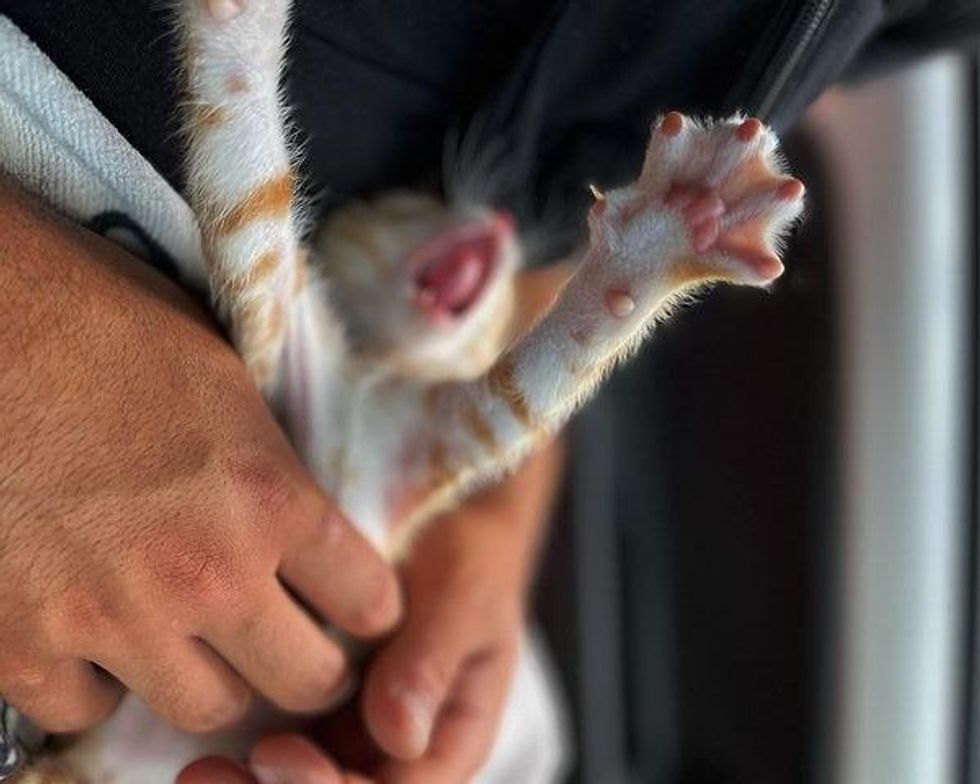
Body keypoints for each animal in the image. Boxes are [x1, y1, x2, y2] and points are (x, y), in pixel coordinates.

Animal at [9, 0, 804, 780]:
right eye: (413, 202)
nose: (504, 221)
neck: (368, 377)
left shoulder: (424, 451)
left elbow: (535, 383)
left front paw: (672, 225)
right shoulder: (274, 335)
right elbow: (246, 192)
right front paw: (240, 27)